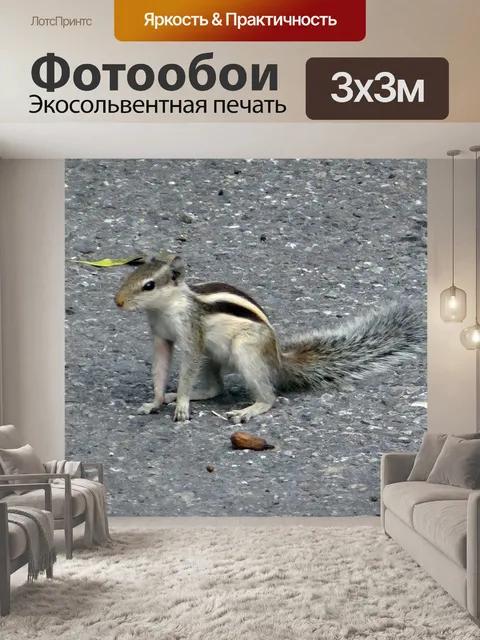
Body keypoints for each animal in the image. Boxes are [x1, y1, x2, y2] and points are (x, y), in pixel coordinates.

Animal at [114, 250, 426, 424]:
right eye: (128, 277)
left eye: (149, 285)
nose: (117, 301)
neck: (166, 308)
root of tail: (277, 358)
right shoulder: (161, 338)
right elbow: (160, 367)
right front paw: (156, 401)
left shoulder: (193, 334)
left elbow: (187, 365)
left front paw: (181, 405)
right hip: (213, 355)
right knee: (216, 388)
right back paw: (187, 394)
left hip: (245, 349)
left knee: (269, 397)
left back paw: (250, 409)